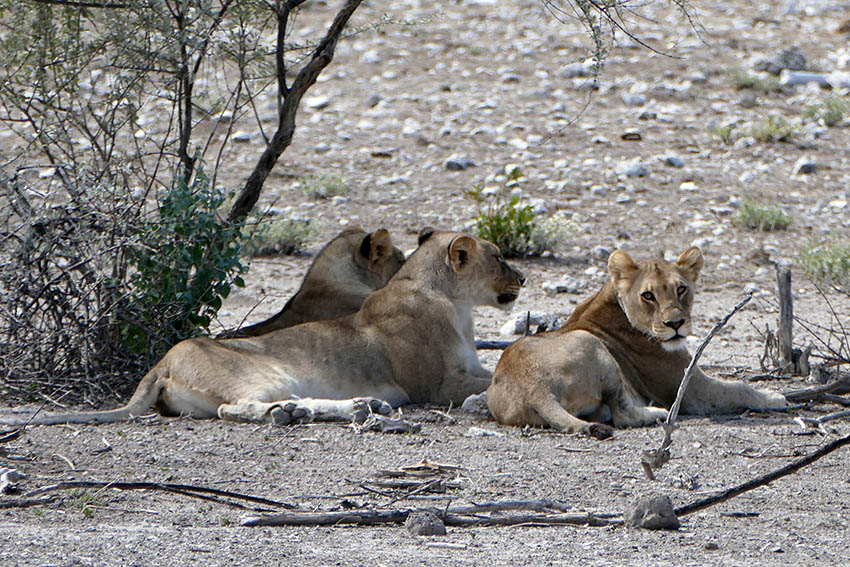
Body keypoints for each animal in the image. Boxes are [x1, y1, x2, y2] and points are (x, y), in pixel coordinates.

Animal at [486, 247, 784, 440]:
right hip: (592, 345)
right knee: (622, 415)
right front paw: (773, 397)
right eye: (648, 295)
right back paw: (657, 413)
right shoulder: (692, 391)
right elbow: (741, 389)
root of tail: (533, 386)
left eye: (681, 289)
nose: (676, 324)